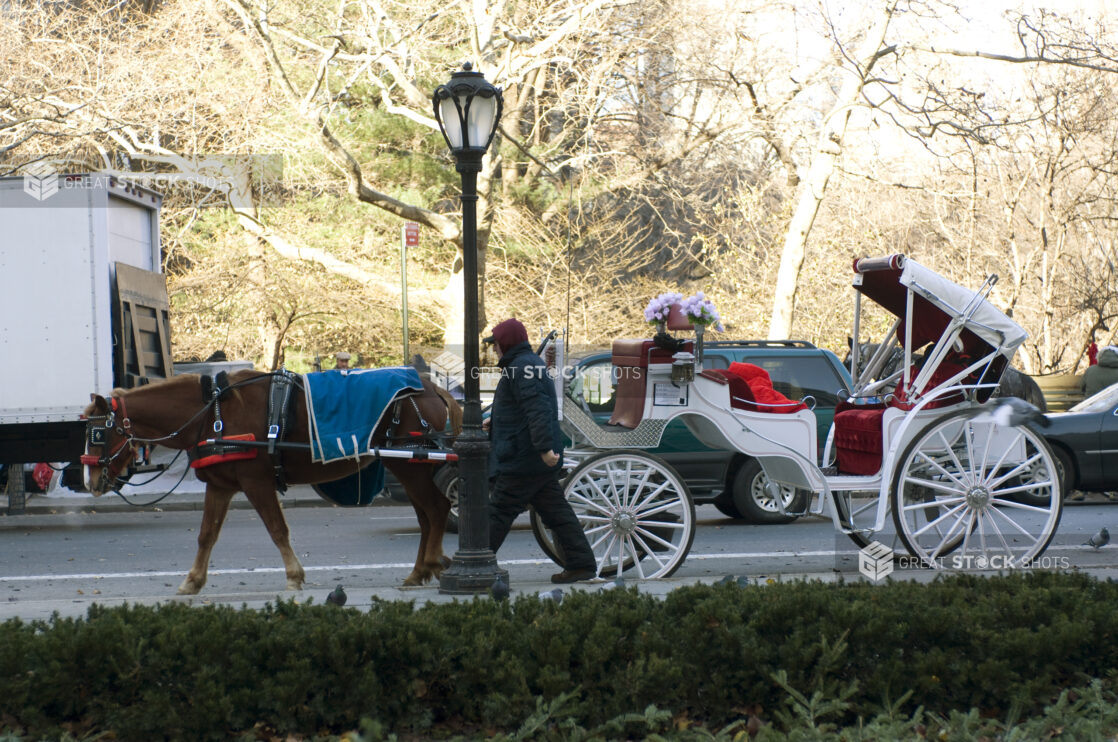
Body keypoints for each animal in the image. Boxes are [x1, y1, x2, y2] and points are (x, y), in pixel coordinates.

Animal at [81, 371, 460, 598]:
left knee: (438, 509)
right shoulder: (220, 486)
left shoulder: (256, 482)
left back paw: (433, 561)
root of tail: (433, 389)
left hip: (410, 466)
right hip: (408, 466)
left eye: (98, 434)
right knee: (427, 518)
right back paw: (420, 569)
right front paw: (194, 579)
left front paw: (294, 574)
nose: (92, 481)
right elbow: (206, 535)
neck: (213, 413)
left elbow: (277, 529)